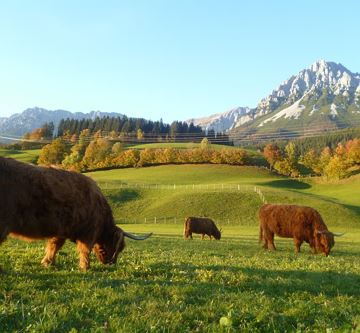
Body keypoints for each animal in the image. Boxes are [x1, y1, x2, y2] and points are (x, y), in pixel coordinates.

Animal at [0, 156, 152, 270]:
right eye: (119, 247)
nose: (111, 263)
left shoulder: (60, 231)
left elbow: (54, 246)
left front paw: (47, 262)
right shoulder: (88, 232)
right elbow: (85, 249)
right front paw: (85, 267)